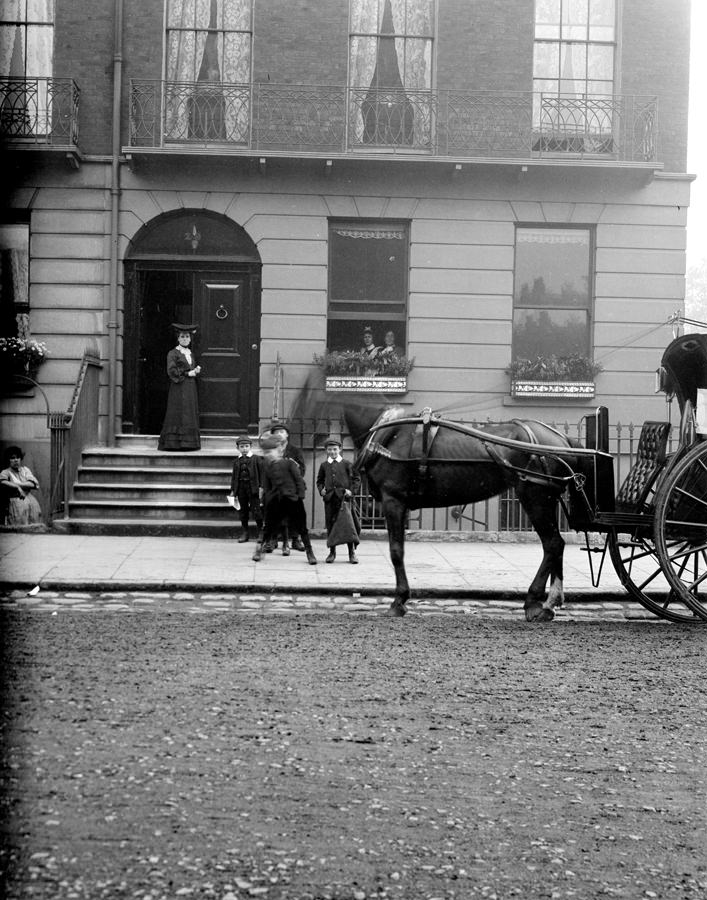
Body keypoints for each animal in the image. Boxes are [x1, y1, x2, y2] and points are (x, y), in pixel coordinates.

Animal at [338, 404, 592, 624]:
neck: (389, 432)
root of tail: (563, 440)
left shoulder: (394, 501)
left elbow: (396, 552)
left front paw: (399, 600)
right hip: (548, 498)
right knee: (557, 544)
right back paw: (550, 604)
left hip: (535, 496)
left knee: (552, 544)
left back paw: (533, 602)